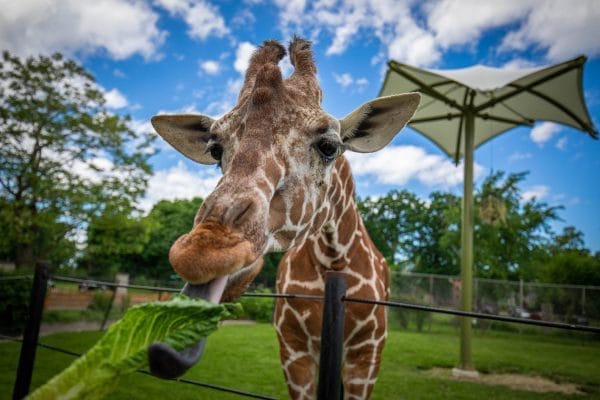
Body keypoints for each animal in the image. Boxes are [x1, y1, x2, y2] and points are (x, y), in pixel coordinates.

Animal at [152, 38, 420, 400]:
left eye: (329, 146)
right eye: (216, 150)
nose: (203, 251)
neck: (332, 260)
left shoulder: (368, 354)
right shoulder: (293, 349)